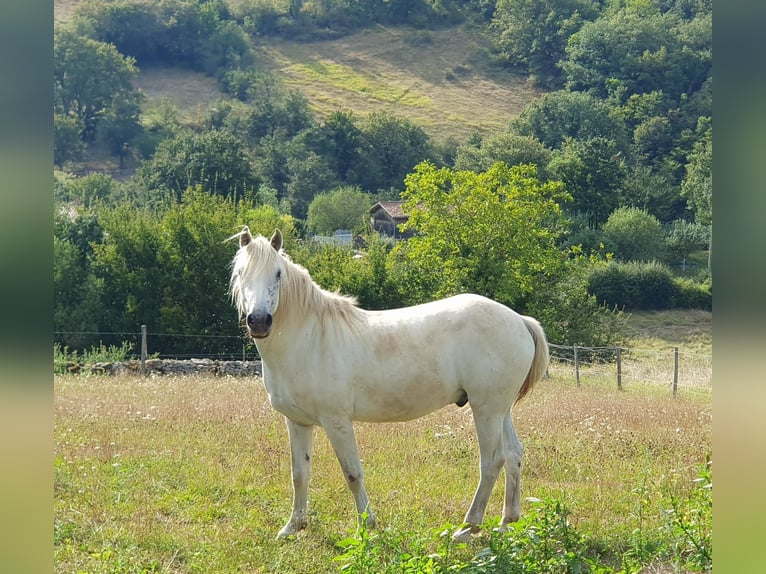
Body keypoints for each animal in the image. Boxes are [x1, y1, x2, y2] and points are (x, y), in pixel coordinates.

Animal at [231, 230, 548, 544]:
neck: (310, 338)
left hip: (486, 411)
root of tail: (519, 320)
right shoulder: (297, 422)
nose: (259, 321)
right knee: (513, 454)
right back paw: (508, 523)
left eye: (278, 274)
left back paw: (467, 527)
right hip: (500, 410)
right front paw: (293, 526)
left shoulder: (337, 421)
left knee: (492, 462)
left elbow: (353, 474)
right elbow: (299, 473)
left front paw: (366, 527)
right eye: (240, 272)